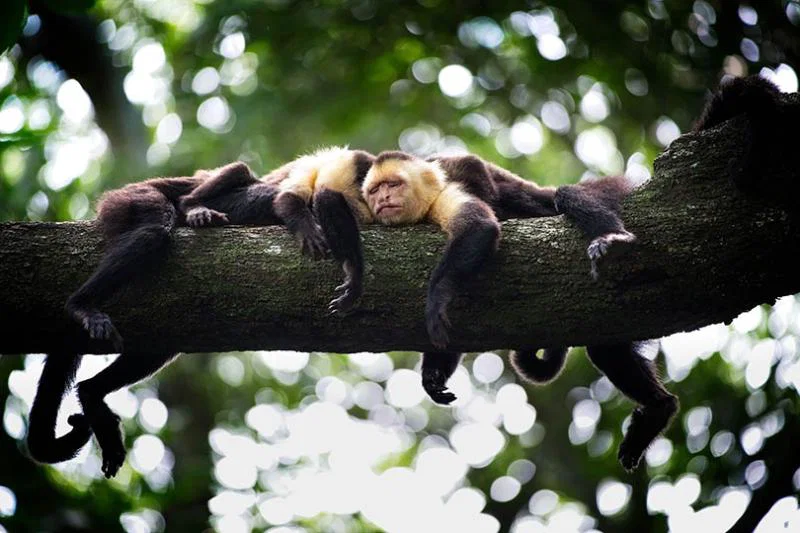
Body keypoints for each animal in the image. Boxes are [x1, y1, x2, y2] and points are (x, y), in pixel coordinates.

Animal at [27, 147, 377, 477]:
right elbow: (308, 199)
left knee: (158, 348)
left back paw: (92, 395)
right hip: (131, 199)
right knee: (155, 228)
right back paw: (83, 304)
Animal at [361, 150, 677, 472]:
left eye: (393, 184)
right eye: (374, 191)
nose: (383, 198)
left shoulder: (445, 189)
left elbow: (479, 227)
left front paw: (436, 299)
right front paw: (433, 376)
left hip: (615, 189)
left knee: (565, 194)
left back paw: (611, 237)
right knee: (607, 350)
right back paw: (659, 408)